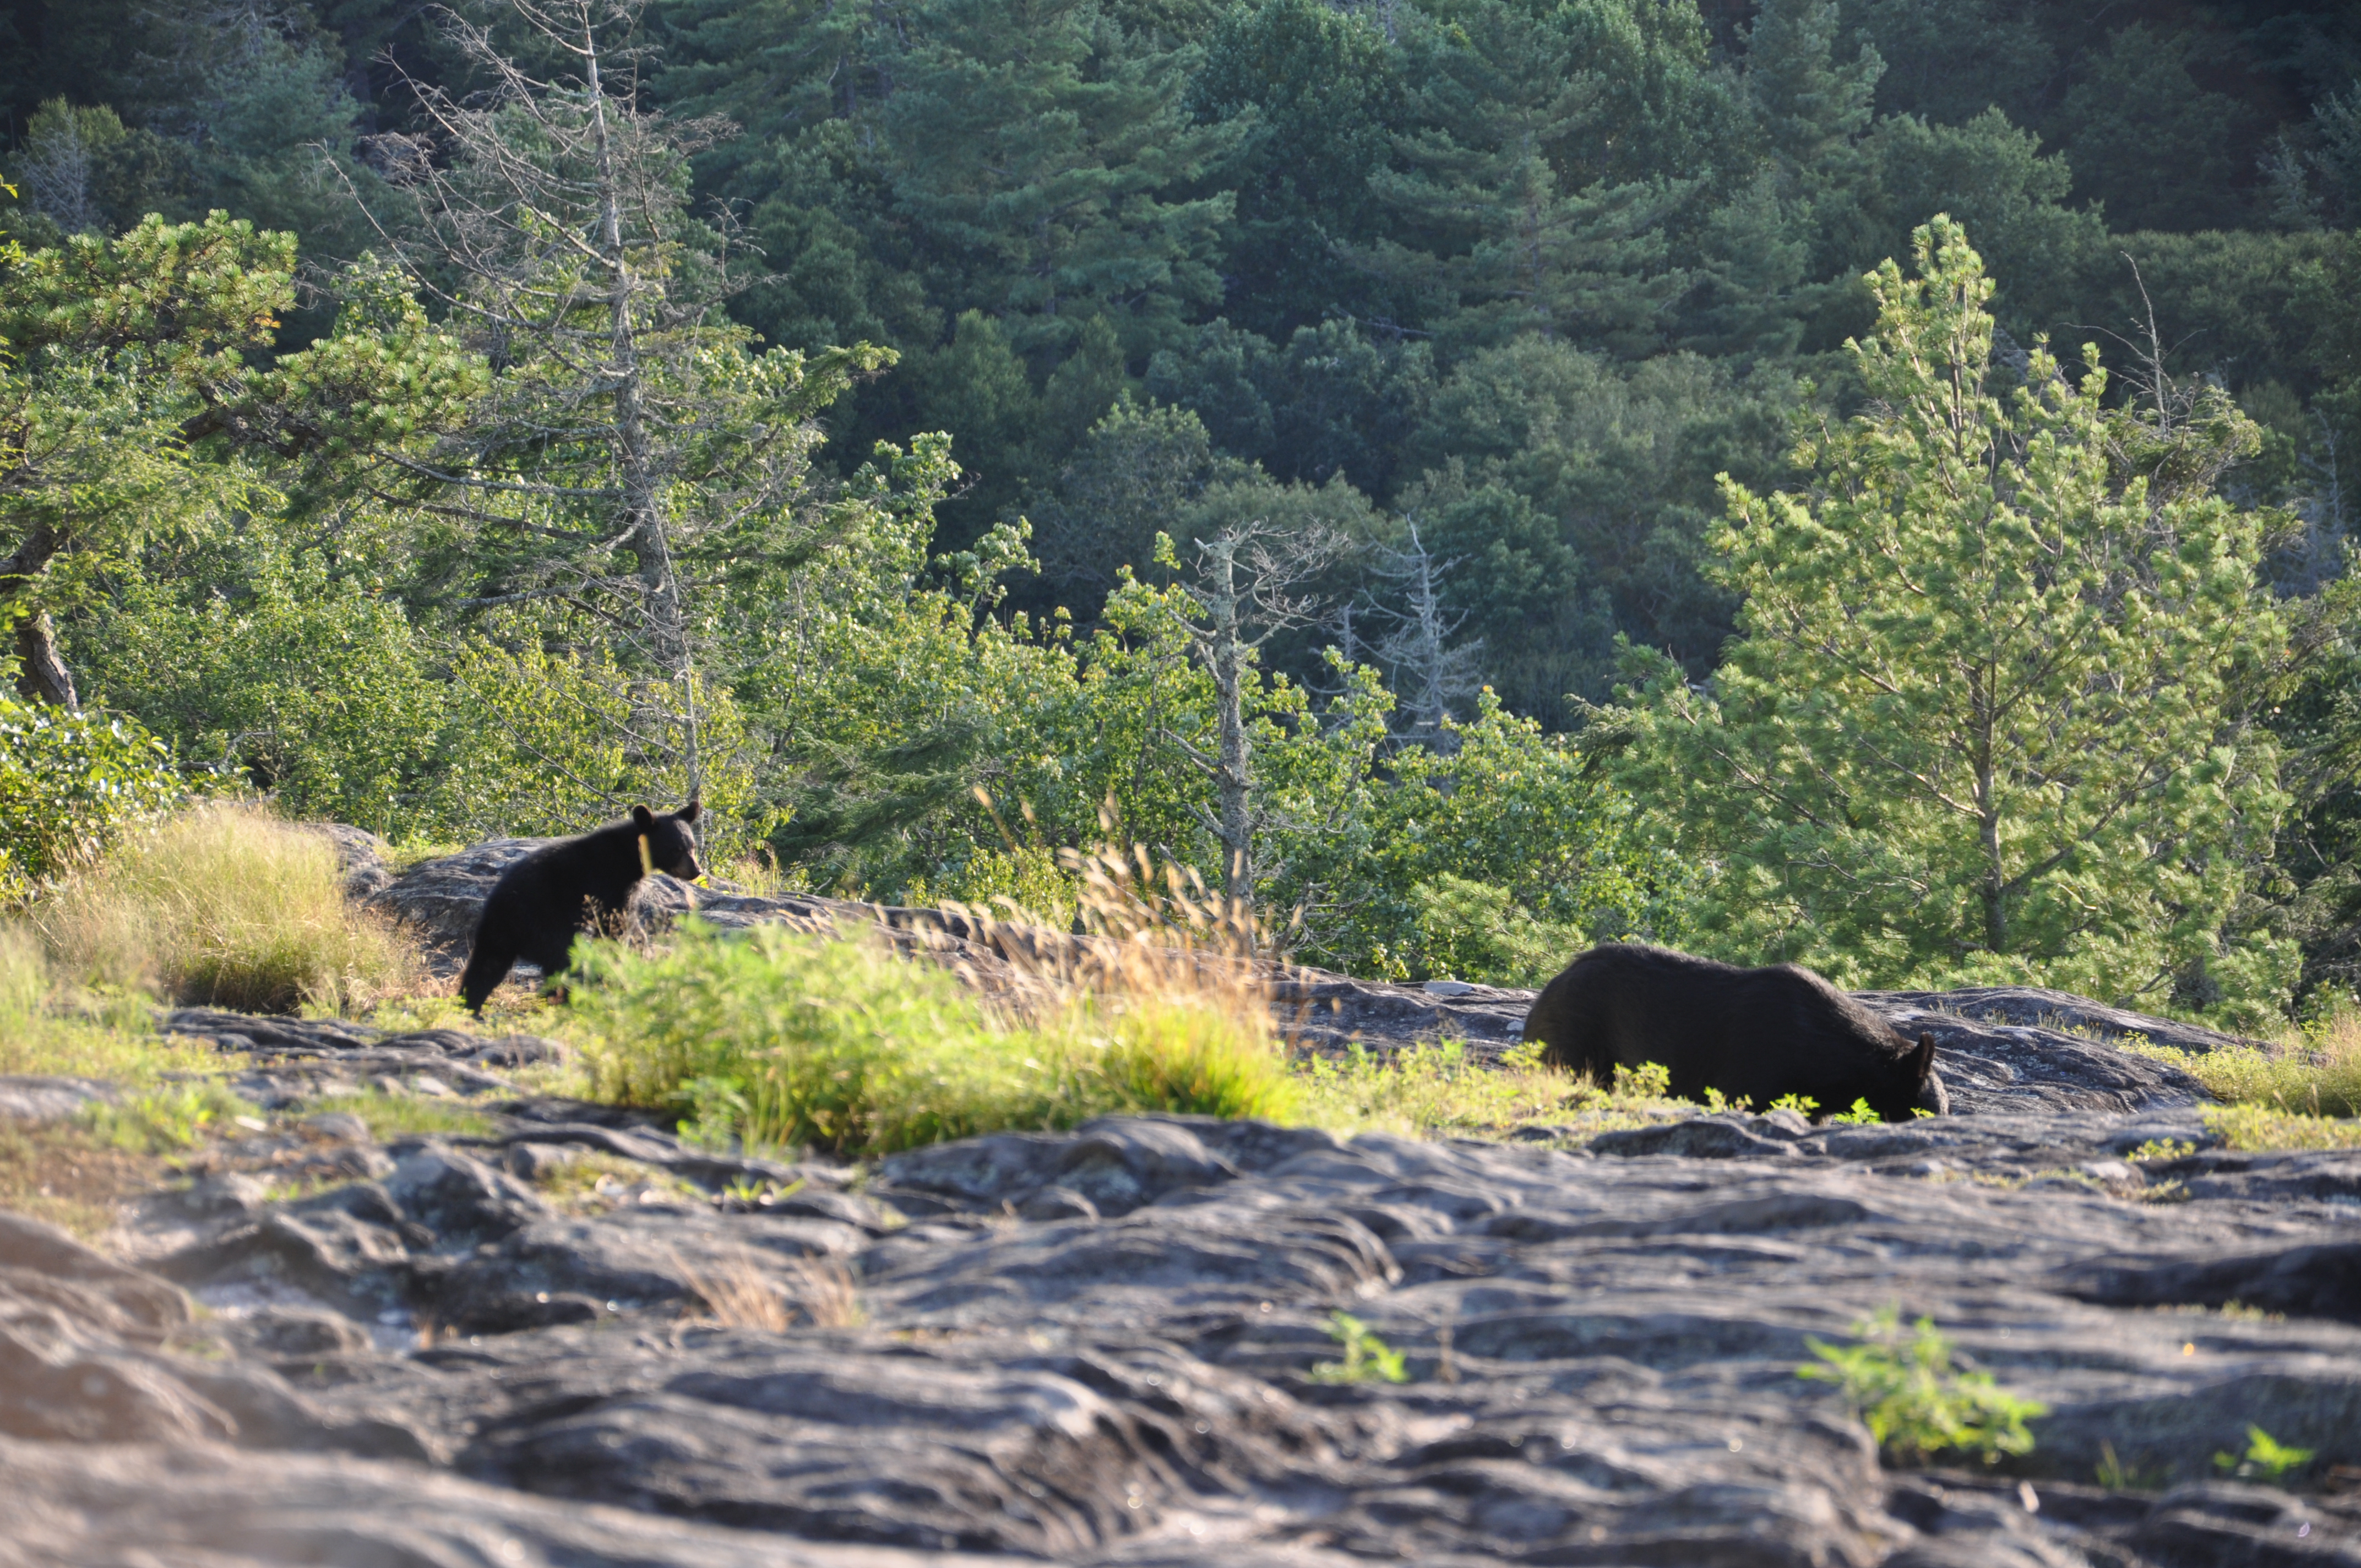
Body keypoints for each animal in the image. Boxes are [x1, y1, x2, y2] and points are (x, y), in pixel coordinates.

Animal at [455, 803, 699, 1010]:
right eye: (676, 849)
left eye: (692, 846)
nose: (696, 871)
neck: (629, 856)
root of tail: (504, 911)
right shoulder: (609, 881)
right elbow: (616, 923)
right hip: (544, 923)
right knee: (562, 959)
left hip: (495, 934)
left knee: (485, 967)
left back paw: (469, 1007)